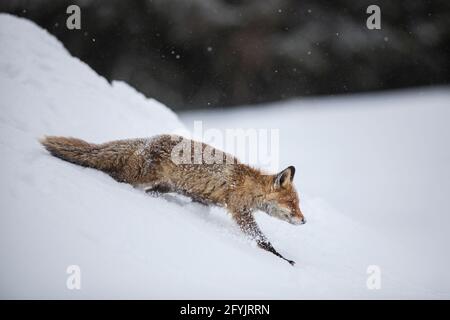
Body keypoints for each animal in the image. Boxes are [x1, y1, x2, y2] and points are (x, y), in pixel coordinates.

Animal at [40, 134, 306, 264]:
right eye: (292, 204)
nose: (304, 221)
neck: (248, 185)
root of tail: (148, 139)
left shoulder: (204, 200)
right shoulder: (239, 210)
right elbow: (261, 239)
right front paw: (281, 258)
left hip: (164, 186)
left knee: (150, 191)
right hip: (136, 176)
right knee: (114, 174)